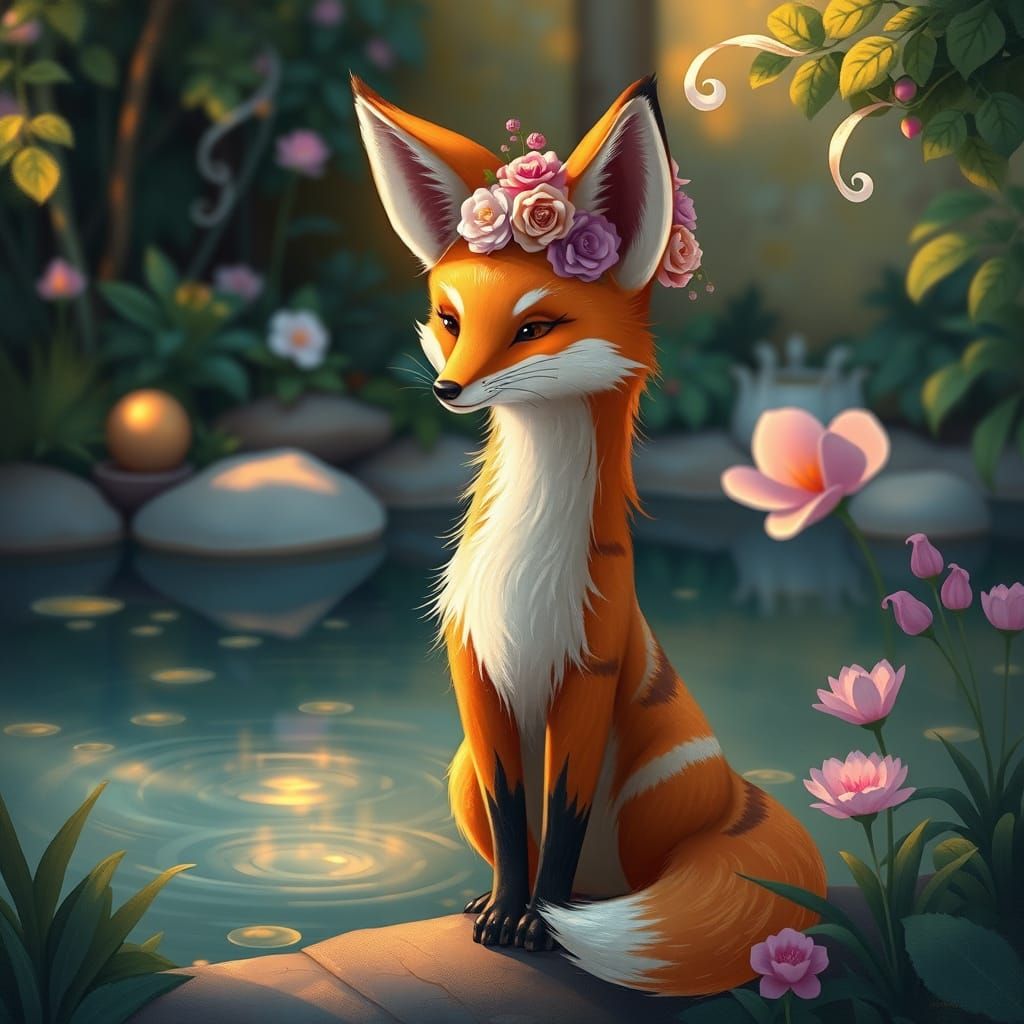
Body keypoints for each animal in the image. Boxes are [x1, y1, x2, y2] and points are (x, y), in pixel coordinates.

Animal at [351, 72, 827, 997]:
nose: (447, 387)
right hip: (458, 769)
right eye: (450, 318)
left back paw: (581, 910)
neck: (523, 567)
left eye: (534, 328)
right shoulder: (476, 672)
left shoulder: (587, 672)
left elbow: (559, 824)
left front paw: (537, 922)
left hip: (645, 790)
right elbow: (514, 819)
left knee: (626, 883)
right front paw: (505, 909)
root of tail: (739, 789)